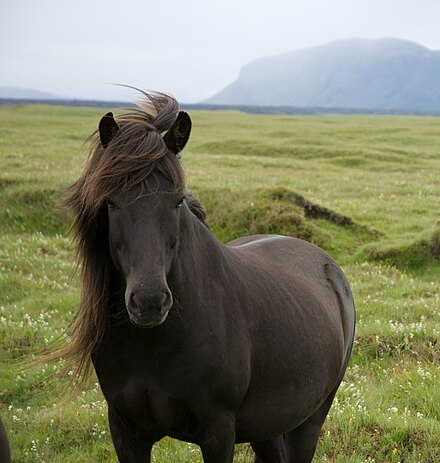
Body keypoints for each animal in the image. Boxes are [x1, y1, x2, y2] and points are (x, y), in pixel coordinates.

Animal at [63, 91, 356, 463]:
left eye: (177, 201)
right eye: (111, 202)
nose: (149, 302)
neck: (154, 346)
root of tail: (328, 266)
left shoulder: (218, 431)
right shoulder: (125, 431)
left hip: (311, 418)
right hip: (268, 425)